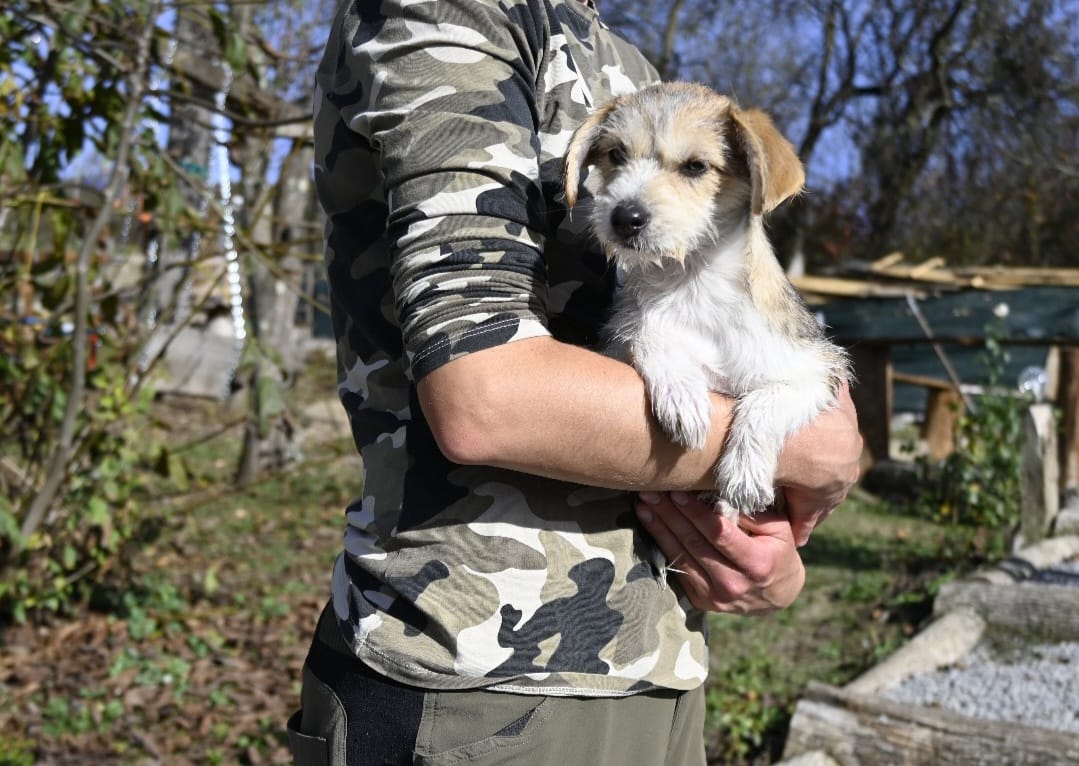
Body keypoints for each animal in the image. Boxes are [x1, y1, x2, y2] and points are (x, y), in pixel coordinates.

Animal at [563, 82, 850, 520]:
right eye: (616, 155)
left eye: (696, 167)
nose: (624, 217)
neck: (693, 285)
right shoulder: (616, 345)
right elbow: (644, 334)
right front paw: (681, 390)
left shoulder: (818, 371)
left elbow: (768, 400)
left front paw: (744, 474)